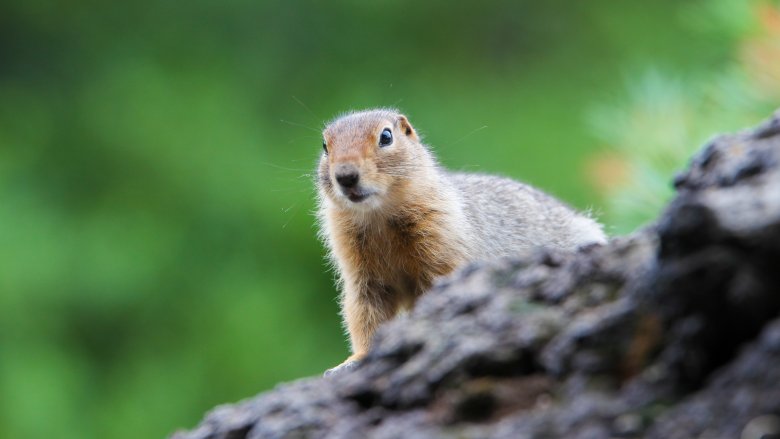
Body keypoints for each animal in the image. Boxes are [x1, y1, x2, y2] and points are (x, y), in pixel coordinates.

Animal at [314, 108, 608, 372]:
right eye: (325, 145)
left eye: (386, 136)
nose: (345, 176)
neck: (379, 216)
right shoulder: (361, 276)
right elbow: (364, 315)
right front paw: (354, 361)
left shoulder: (442, 243)